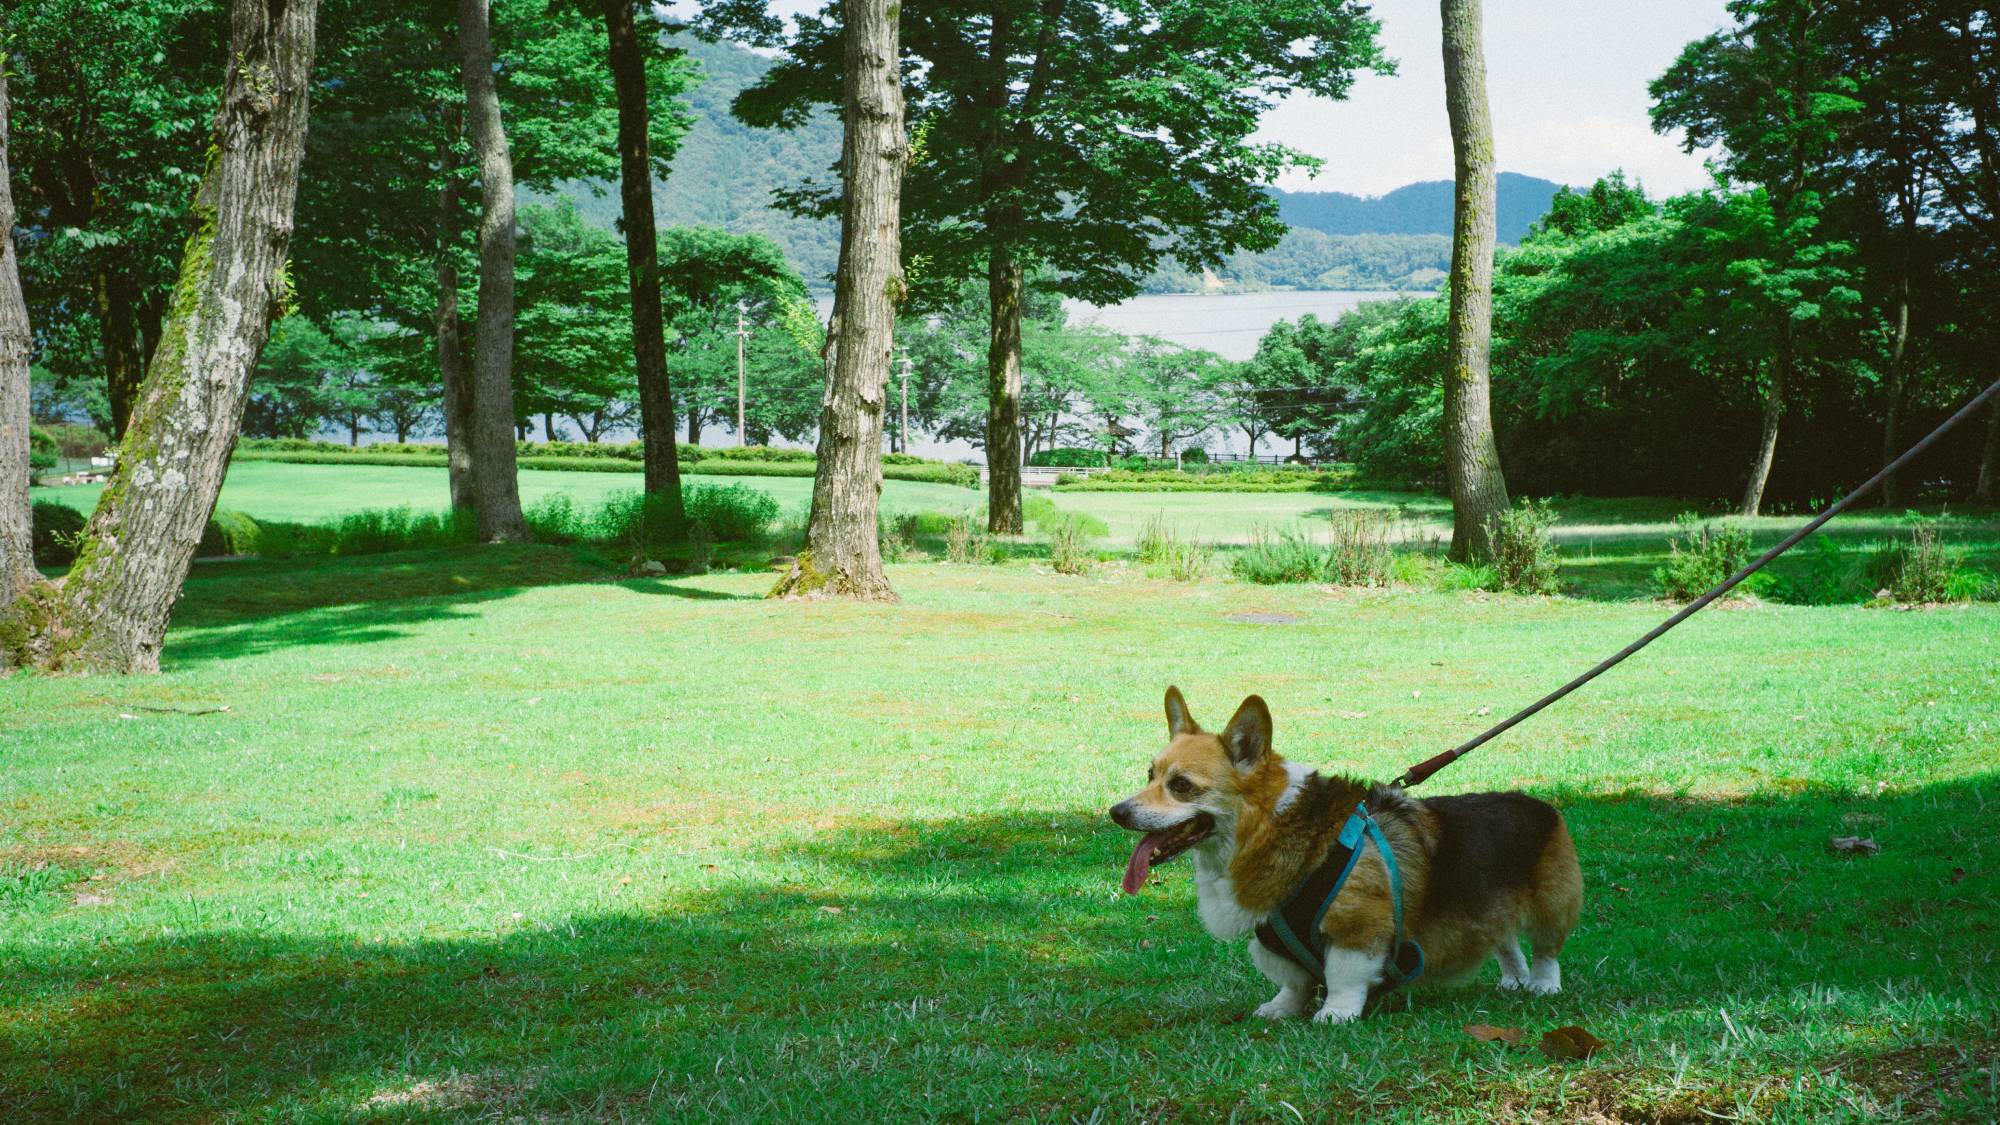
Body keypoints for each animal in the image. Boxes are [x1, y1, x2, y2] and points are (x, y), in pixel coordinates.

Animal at [1104, 688, 1584, 1020]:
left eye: (1181, 785)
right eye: (1150, 775)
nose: (1117, 812)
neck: (1268, 825)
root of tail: (1536, 802)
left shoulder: (1358, 928)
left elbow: (1343, 975)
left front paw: (1335, 1014)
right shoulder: (1273, 937)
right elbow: (1293, 981)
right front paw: (1280, 1009)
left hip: (1551, 906)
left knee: (1545, 950)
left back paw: (1541, 985)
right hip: (1490, 909)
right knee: (1506, 943)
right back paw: (1513, 980)